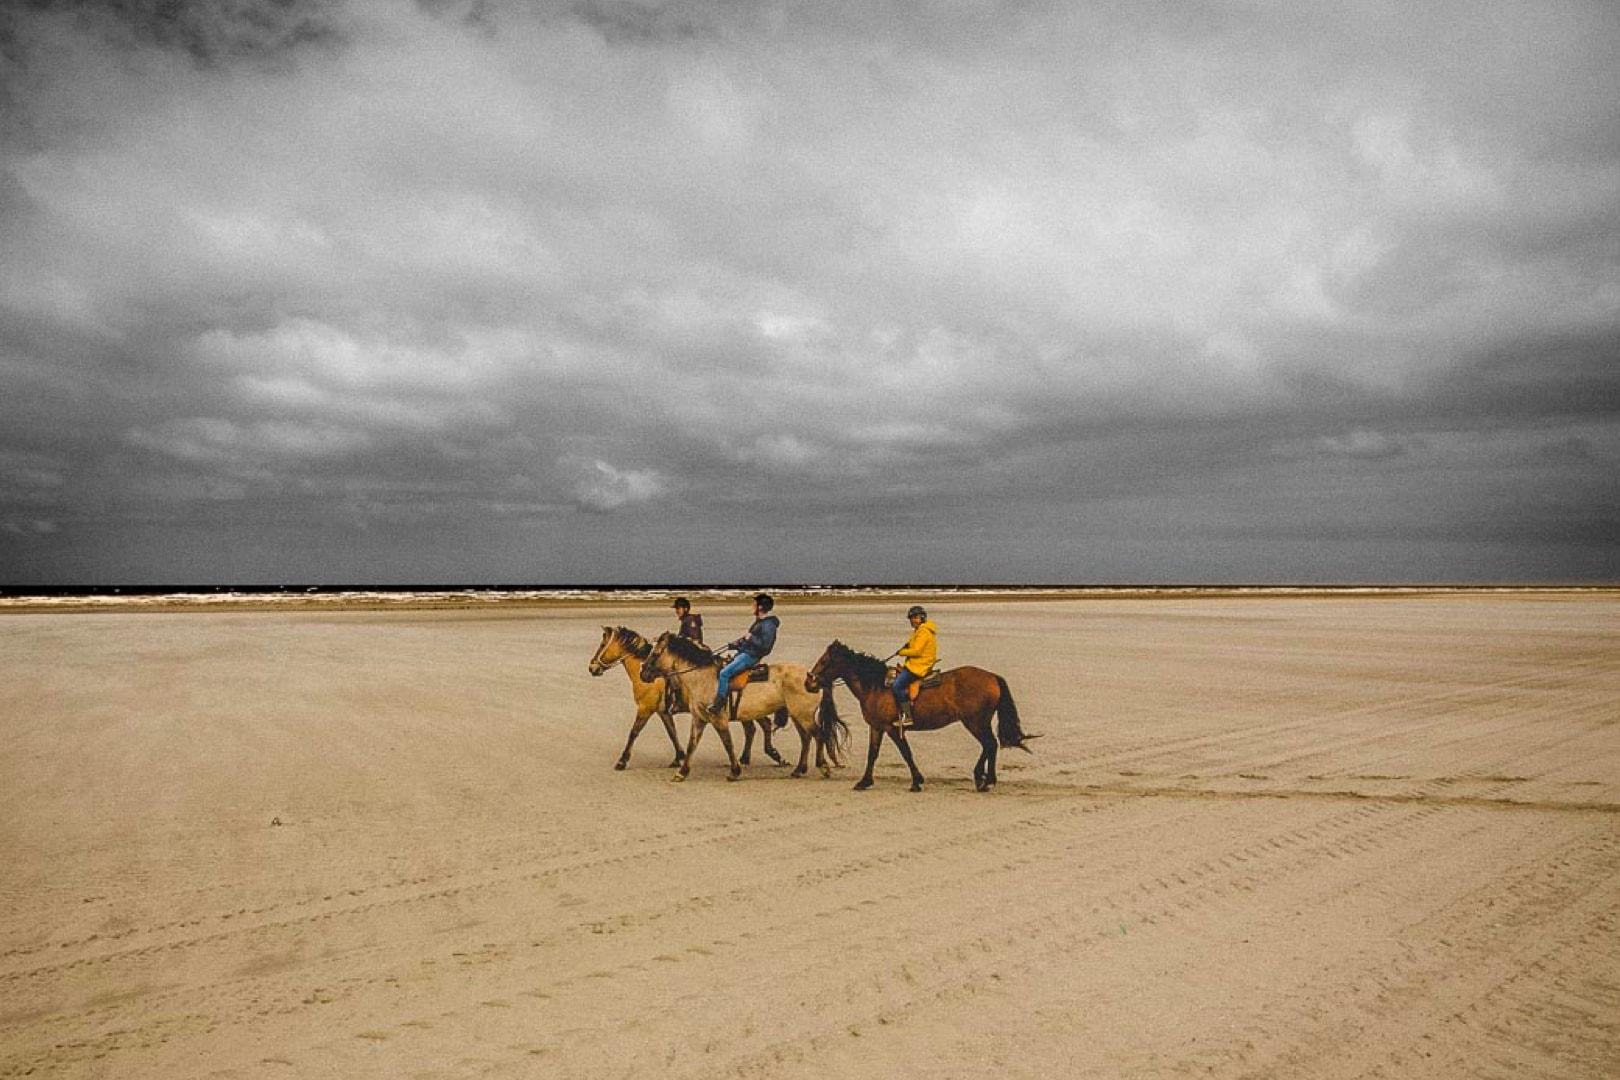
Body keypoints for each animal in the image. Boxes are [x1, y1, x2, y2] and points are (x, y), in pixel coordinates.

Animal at [586, 628, 787, 773]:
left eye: (602, 644)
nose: (592, 667)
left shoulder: (645, 709)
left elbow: (634, 733)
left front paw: (622, 761)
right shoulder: (662, 711)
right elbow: (672, 733)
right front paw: (679, 757)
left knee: (760, 726)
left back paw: (766, 756)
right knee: (755, 728)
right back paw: (753, 758)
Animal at [641, 628, 855, 780]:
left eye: (656, 653)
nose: (643, 673)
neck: (703, 677)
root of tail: (813, 677)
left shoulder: (718, 718)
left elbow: (727, 743)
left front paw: (735, 771)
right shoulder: (699, 719)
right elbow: (692, 744)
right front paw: (682, 772)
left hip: (804, 715)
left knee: (818, 735)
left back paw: (823, 767)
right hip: (797, 715)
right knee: (806, 738)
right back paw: (799, 769)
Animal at [800, 641, 1036, 793]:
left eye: (825, 661)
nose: (809, 682)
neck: (875, 686)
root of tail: (992, 677)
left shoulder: (892, 728)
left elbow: (906, 753)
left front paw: (916, 781)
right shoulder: (877, 727)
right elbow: (872, 754)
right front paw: (865, 782)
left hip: (975, 722)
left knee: (990, 744)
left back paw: (986, 780)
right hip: (977, 722)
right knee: (989, 746)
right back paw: (983, 779)